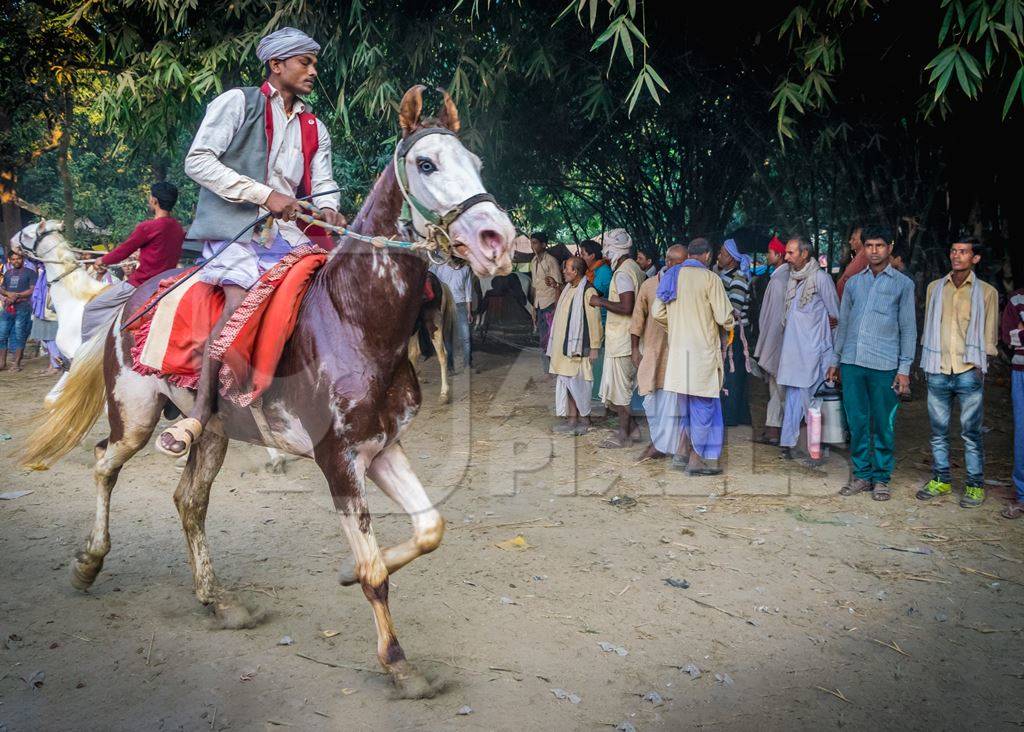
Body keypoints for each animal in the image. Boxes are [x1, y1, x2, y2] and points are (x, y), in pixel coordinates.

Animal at [25, 85, 512, 700]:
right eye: (426, 164)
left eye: (476, 163)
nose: (499, 241)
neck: (354, 321)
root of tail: (128, 303)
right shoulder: (338, 459)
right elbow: (377, 571)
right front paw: (398, 662)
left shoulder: (382, 448)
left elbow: (429, 530)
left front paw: (349, 572)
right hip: (134, 417)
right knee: (103, 462)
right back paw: (88, 562)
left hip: (212, 430)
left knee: (189, 501)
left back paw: (218, 600)